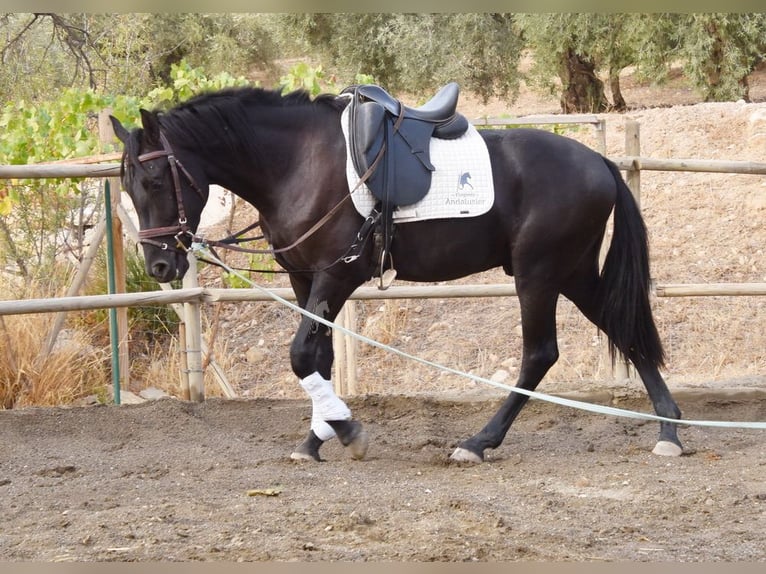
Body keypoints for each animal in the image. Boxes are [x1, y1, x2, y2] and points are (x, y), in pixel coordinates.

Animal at [111, 84, 688, 464]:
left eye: (156, 179)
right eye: (127, 184)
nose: (159, 265)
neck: (299, 160)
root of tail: (599, 162)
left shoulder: (336, 275)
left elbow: (300, 355)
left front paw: (345, 430)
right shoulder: (305, 280)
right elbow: (318, 357)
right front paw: (317, 438)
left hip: (538, 274)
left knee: (540, 354)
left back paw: (478, 443)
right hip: (572, 272)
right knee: (624, 329)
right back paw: (670, 431)